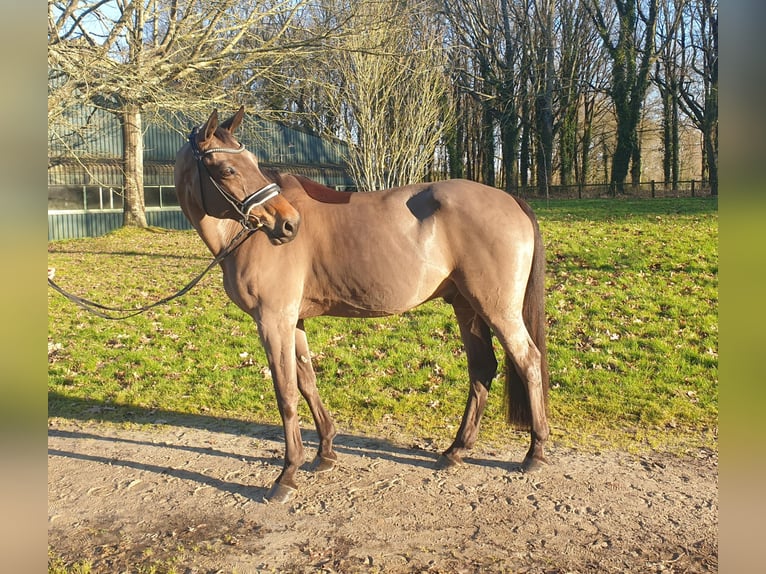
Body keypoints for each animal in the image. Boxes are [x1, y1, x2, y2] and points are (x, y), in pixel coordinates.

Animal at [176, 107, 552, 504]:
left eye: (250, 163)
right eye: (228, 169)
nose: (288, 224)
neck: (242, 236)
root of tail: (510, 200)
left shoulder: (273, 320)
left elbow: (286, 394)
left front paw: (287, 473)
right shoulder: (293, 321)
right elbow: (307, 382)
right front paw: (325, 452)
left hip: (498, 309)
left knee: (528, 361)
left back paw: (535, 451)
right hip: (466, 306)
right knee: (482, 369)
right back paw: (456, 450)